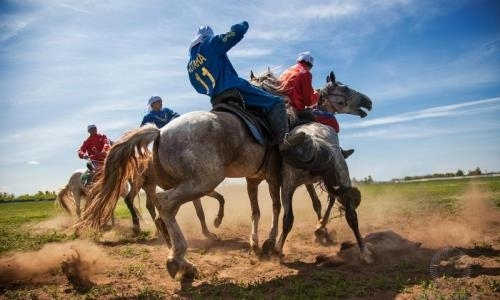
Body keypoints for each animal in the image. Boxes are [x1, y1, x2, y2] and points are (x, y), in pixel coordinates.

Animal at [76, 70, 370, 284]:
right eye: (343, 88)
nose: (367, 101)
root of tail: (160, 133)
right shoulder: (275, 178)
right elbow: (277, 208)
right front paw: (269, 243)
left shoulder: (255, 178)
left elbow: (258, 210)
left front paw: (257, 244)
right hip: (201, 182)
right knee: (164, 203)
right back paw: (179, 259)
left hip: (185, 184)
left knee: (161, 214)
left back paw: (180, 258)